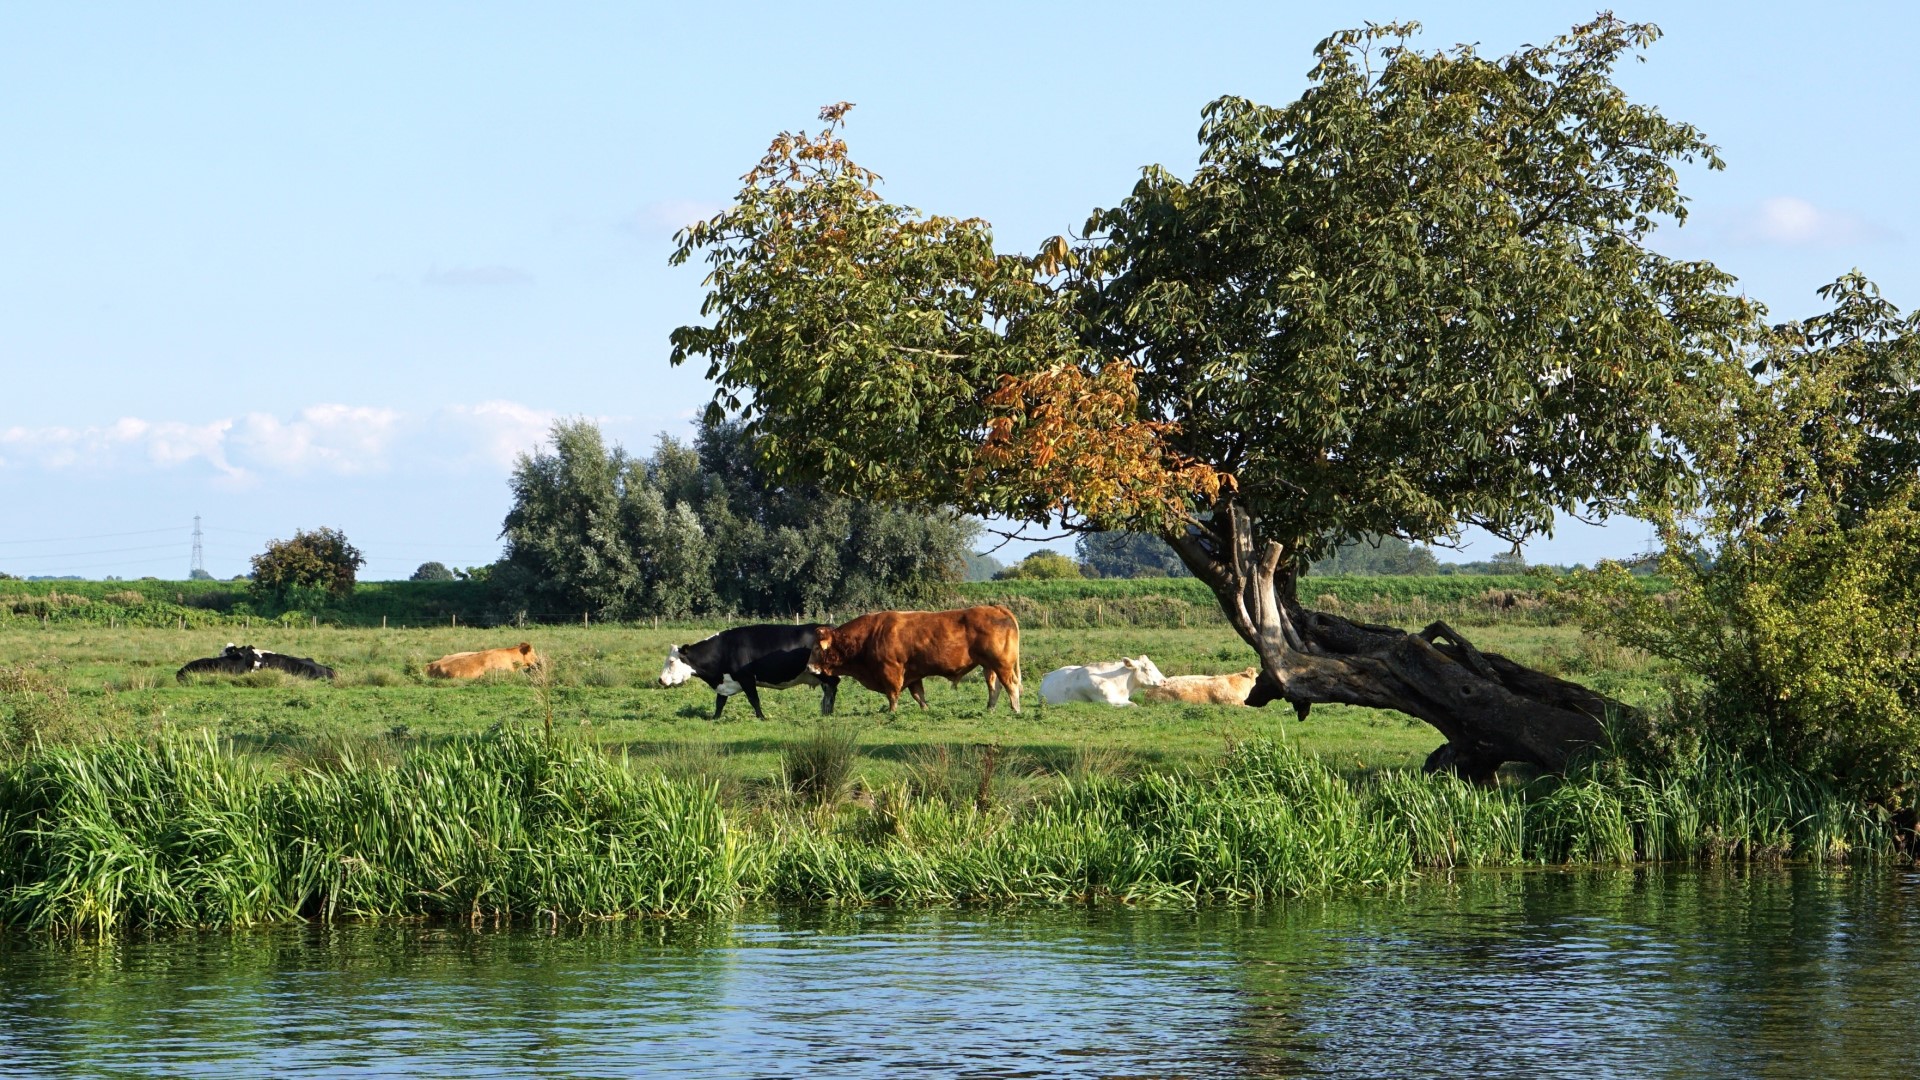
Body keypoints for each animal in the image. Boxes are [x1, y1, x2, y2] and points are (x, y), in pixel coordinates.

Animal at [658, 624, 840, 720]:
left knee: (833, 687)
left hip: (824, 673)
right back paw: (826, 712)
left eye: (671, 661)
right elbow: (719, 703)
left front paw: (762, 718)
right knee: (829, 690)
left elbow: (754, 700)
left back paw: (828, 712)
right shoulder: (724, 682)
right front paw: (715, 718)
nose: (660, 680)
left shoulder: (746, 678)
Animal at [808, 605, 1022, 713]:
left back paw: (1015, 709)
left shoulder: (891, 670)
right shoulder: (913, 674)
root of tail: (996, 608)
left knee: (1011, 685)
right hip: (989, 666)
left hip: (1002, 664)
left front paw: (892, 713)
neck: (870, 635)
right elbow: (918, 695)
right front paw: (926, 710)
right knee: (994, 687)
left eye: (817, 648)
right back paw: (990, 709)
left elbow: (892, 694)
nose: (809, 667)